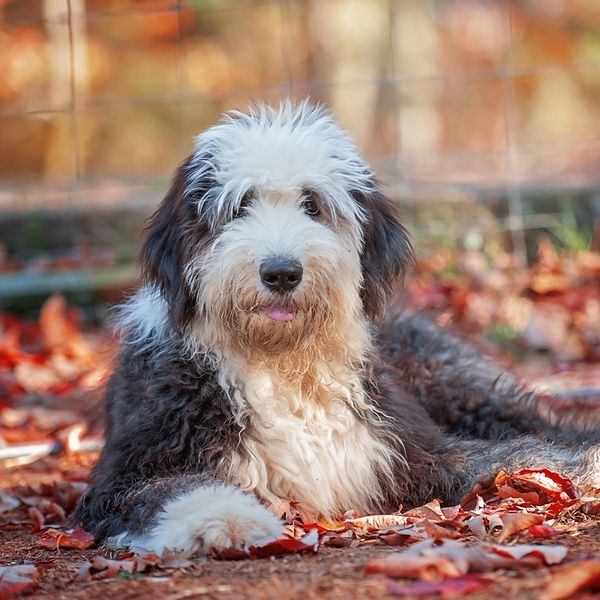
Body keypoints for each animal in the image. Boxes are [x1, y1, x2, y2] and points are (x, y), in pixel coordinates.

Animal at [74, 101, 600, 556]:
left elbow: (518, 457)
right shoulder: (127, 473)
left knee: (545, 426)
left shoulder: (412, 449)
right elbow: (171, 489)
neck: (283, 364)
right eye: (239, 207)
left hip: (462, 387)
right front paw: (227, 520)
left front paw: (586, 466)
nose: (281, 273)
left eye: (312, 204)